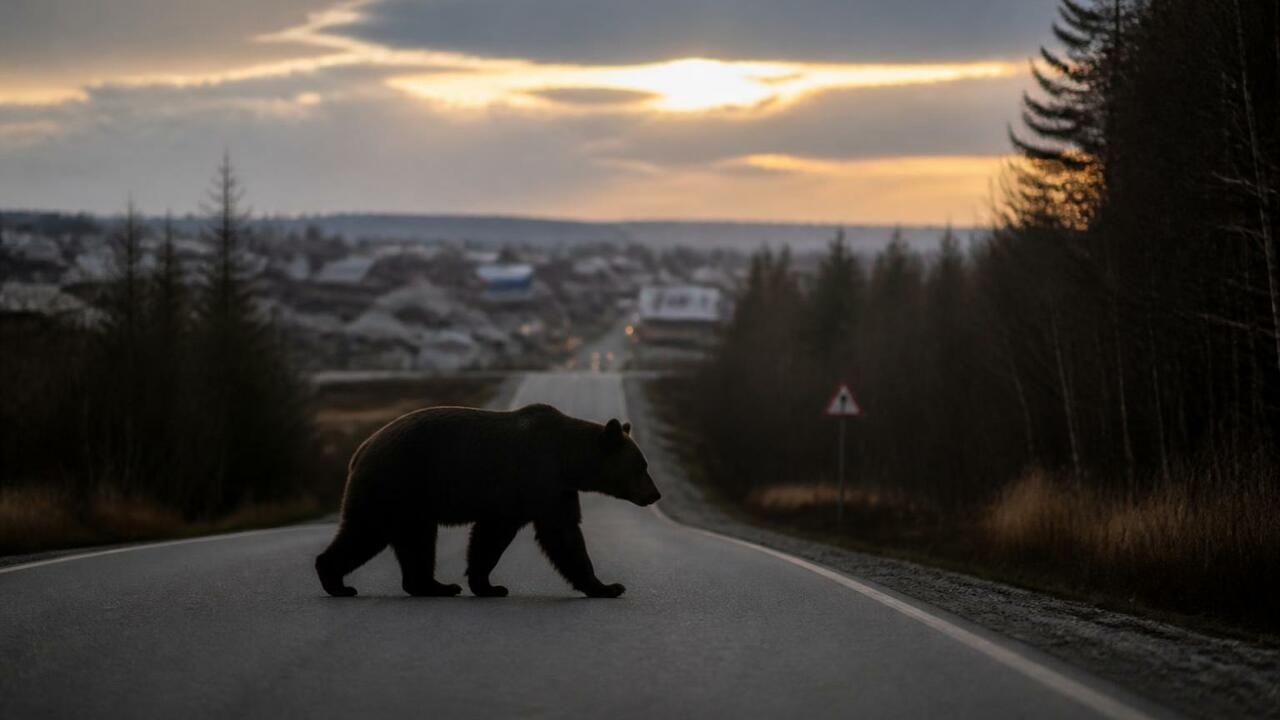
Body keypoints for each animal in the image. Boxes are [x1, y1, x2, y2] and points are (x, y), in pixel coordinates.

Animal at [315, 403, 661, 599]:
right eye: (641, 465)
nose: (655, 494)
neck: (566, 459)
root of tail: (360, 449)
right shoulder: (535, 480)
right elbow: (556, 535)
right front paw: (609, 587)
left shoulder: (554, 490)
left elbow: (498, 536)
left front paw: (485, 585)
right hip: (394, 483)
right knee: (367, 531)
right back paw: (337, 581)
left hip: (413, 501)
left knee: (416, 541)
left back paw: (434, 586)